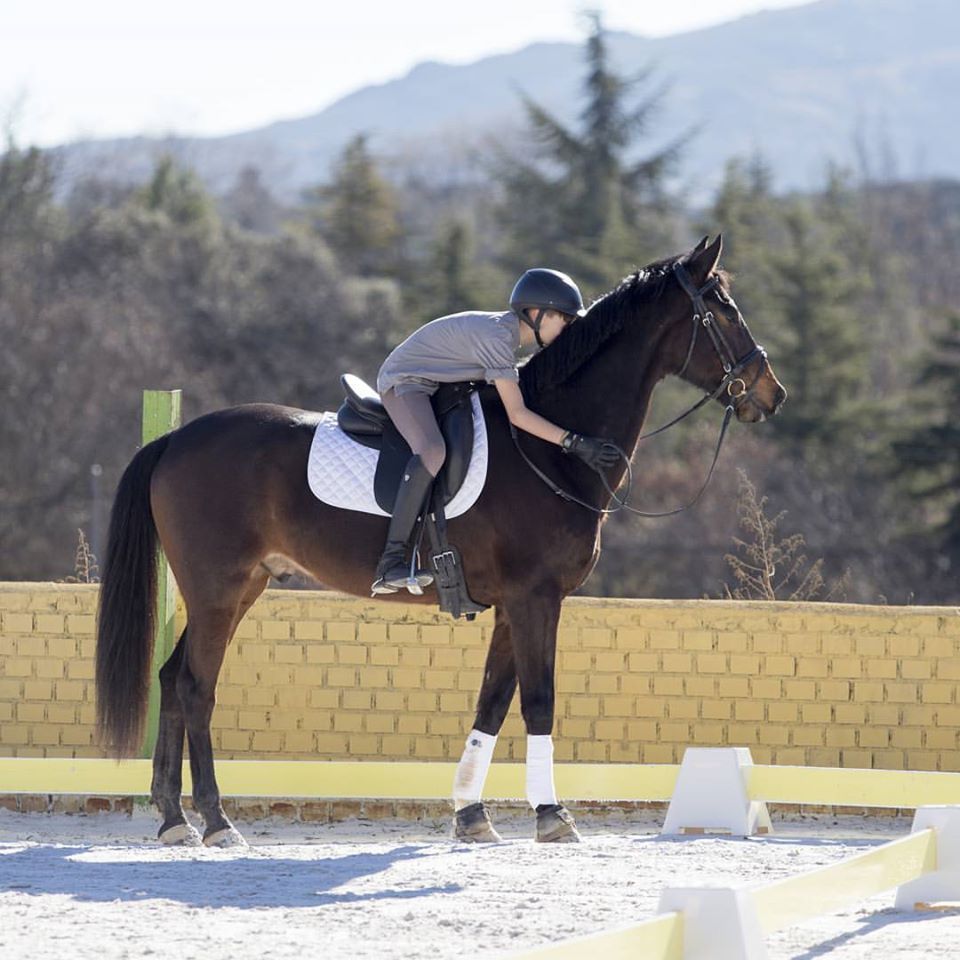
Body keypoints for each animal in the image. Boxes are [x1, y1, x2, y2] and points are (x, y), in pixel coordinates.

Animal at [95, 235, 786, 846]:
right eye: (724, 309)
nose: (772, 395)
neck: (549, 448)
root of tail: (176, 440)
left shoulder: (513, 605)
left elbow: (492, 704)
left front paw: (472, 816)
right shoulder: (537, 598)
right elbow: (539, 701)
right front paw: (552, 816)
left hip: (241, 588)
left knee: (171, 678)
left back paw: (172, 819)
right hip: (218, 589)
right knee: (195, 686)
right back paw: (216, 821)